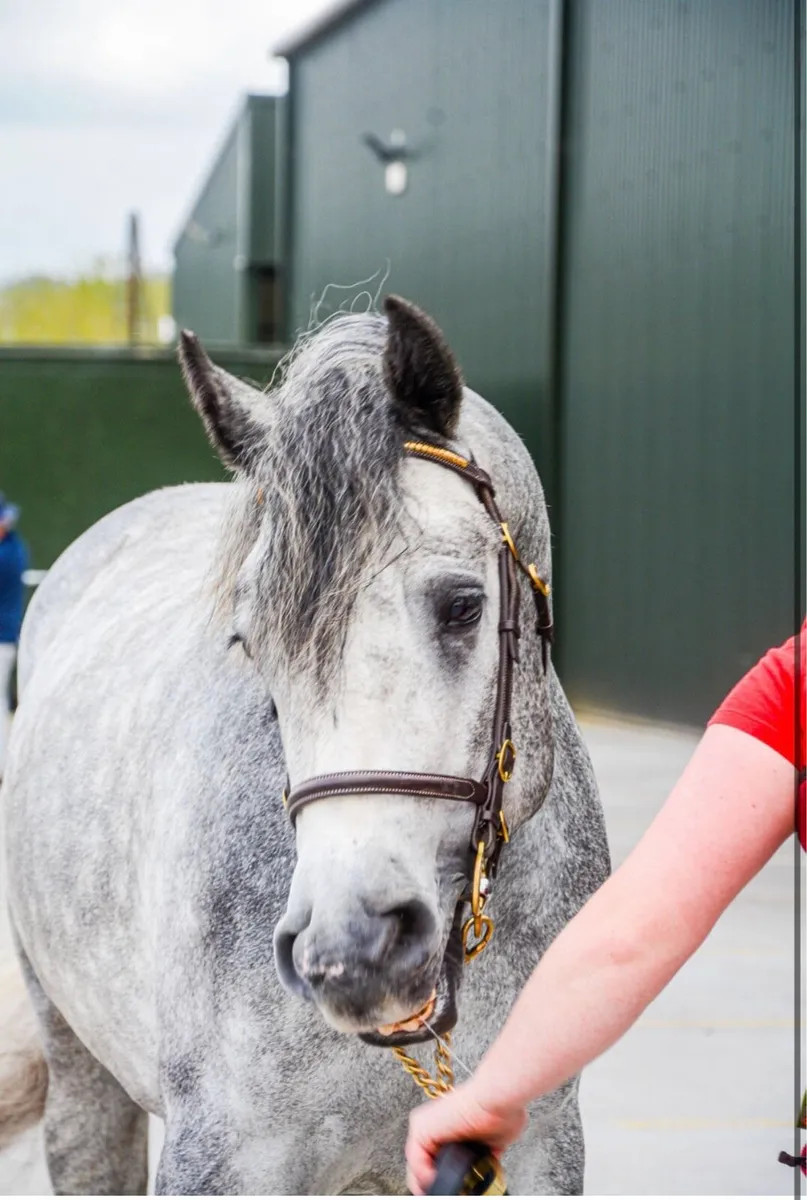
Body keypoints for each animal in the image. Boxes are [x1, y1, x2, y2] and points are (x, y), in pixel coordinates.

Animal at [0, 296, 610, 1195]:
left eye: (463, 605)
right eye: (249, 641)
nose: (352, 947)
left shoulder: (536, 1146)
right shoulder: (224, 1155)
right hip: (81, 1074)